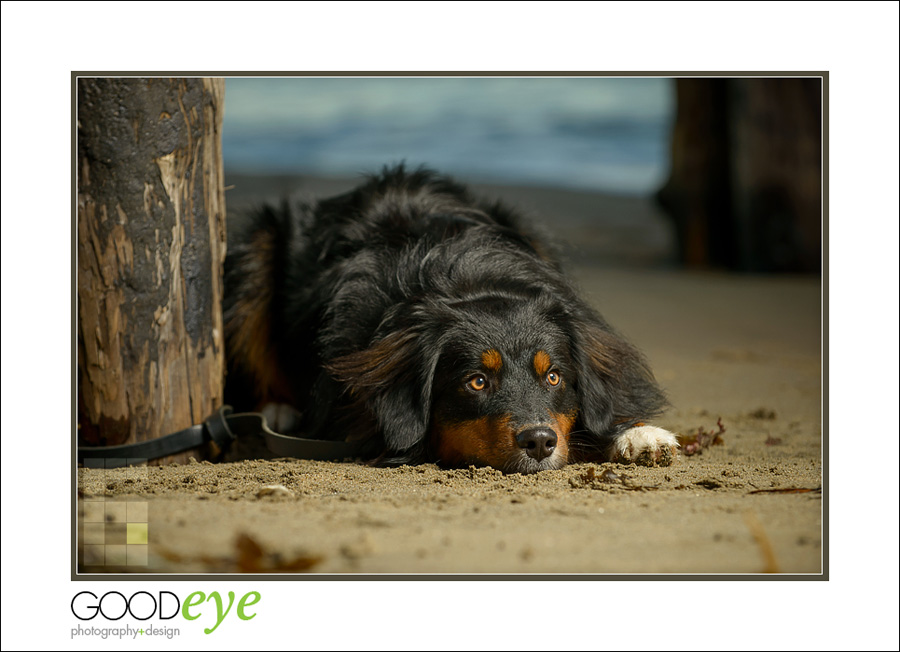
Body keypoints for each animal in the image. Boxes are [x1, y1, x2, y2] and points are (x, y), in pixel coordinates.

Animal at [223, 166, 676, 474]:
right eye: (476, 382)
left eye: (553, 377)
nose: (539, 442)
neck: (464, 279)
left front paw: (638, 433)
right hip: (255, 252)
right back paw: (276, 410)